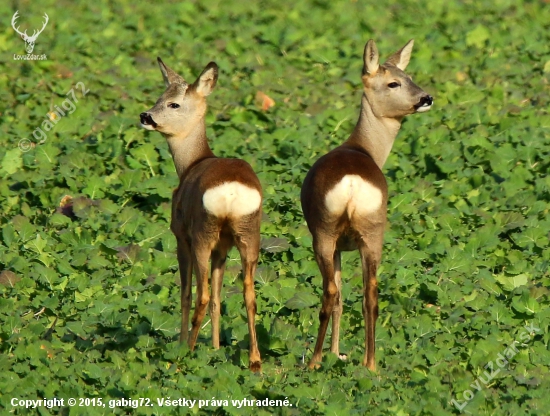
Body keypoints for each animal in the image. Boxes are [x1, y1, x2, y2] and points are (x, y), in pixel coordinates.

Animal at [141, 57, 264, 370]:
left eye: (173, 103)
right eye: (159, 97)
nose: (145, 116)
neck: (192, 162)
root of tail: (231, 191)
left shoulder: (180, 235)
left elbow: (185, 293)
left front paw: (184, 342)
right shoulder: (223, 246)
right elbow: (221, 299)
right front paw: (217, 348)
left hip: (202, 234)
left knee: (202, 294)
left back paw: (186, 353)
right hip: (248, 234)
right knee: (248, 294)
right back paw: (255, 361)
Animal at [302, 39, 436, 370]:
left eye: (408, 76)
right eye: (395, 82)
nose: (426, 98)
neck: (362, 147)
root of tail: (352, 182)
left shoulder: (334, 243)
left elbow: (338, 296)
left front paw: (334, 353)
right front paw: (339, 352)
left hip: (324, 233)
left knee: (331, 292)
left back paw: (315, 362)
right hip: (374, 232)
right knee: (371, 293)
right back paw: (370, 364)